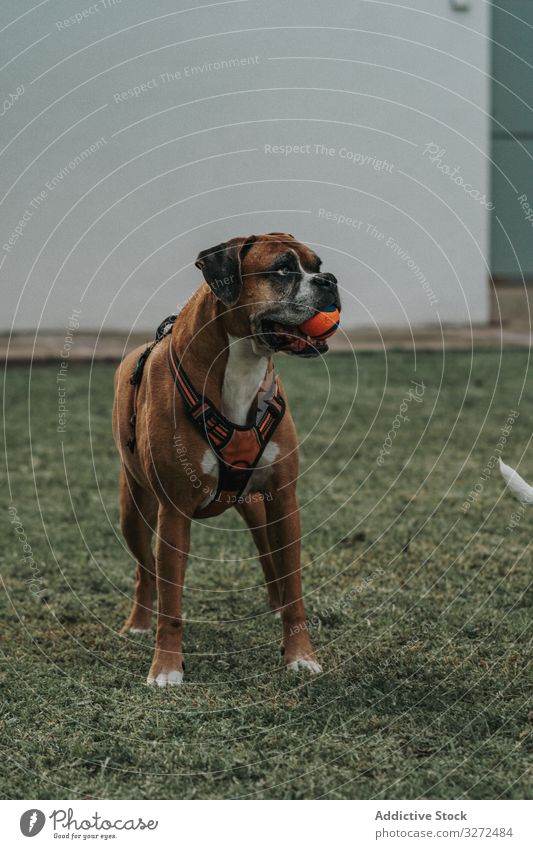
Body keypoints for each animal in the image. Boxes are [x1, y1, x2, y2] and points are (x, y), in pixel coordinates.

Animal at [111, 235, 340, 684]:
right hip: (135, 511)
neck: (243, 364)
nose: (330, 280)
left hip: (256, 507)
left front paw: (299, 655)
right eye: (283, 268)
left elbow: (293, 584)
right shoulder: (174, 512)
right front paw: (166, 668)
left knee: (269, 557)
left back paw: (275, 607)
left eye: (317, 265)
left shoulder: (284, 500)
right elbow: (171, 599)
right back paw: (139, 624)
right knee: (145, 571)